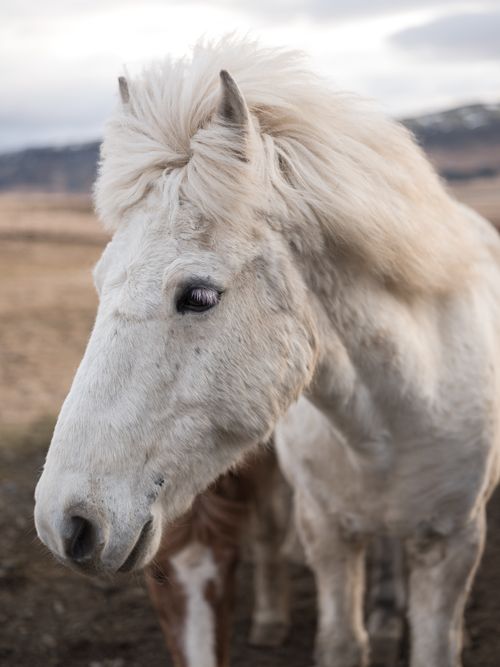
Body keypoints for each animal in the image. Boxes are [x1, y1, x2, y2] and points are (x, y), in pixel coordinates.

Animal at [34, 36, 500, 667]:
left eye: (199, 296)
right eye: (99, 282)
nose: (67, 522)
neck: (404, 407)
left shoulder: (454, 545)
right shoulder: (326, 532)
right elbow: (342, 641)